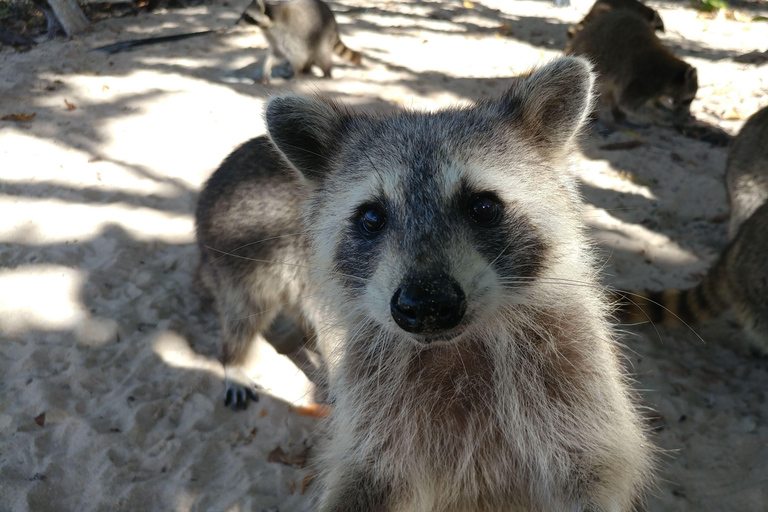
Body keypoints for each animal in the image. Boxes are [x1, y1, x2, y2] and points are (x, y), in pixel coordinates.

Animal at [195, 57, 652, 512]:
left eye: (483, 206)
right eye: (371, 217)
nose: (426, 305)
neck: (456, 348)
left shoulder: (573, 378)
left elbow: (593, 467)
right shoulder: (377, 408)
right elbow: (367, 474)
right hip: (245, 252)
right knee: (243, 314)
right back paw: (234, 359)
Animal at [568, 9, 700, 125]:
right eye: (688, 100)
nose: (687, 114)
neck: (670, 74)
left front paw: (661, 106)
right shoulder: (643, 79)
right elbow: (629, 104)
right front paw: (658, 116)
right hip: (596, 63)